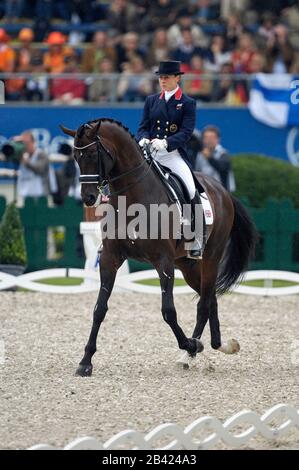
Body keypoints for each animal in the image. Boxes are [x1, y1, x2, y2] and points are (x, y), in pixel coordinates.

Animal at [61, 119, 258, 376]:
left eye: (94, 154)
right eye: (76, 156)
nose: (88, 197)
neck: (131, 195)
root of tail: (222, 190)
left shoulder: (163, 261)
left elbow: (168, 312)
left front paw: (190, 344)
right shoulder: (110, 258)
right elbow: (99, 309)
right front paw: (85, 362)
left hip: (210, 257)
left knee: (204, 303)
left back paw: (191, 351)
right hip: (187, 264)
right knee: (210, 298)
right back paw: (219, 345)